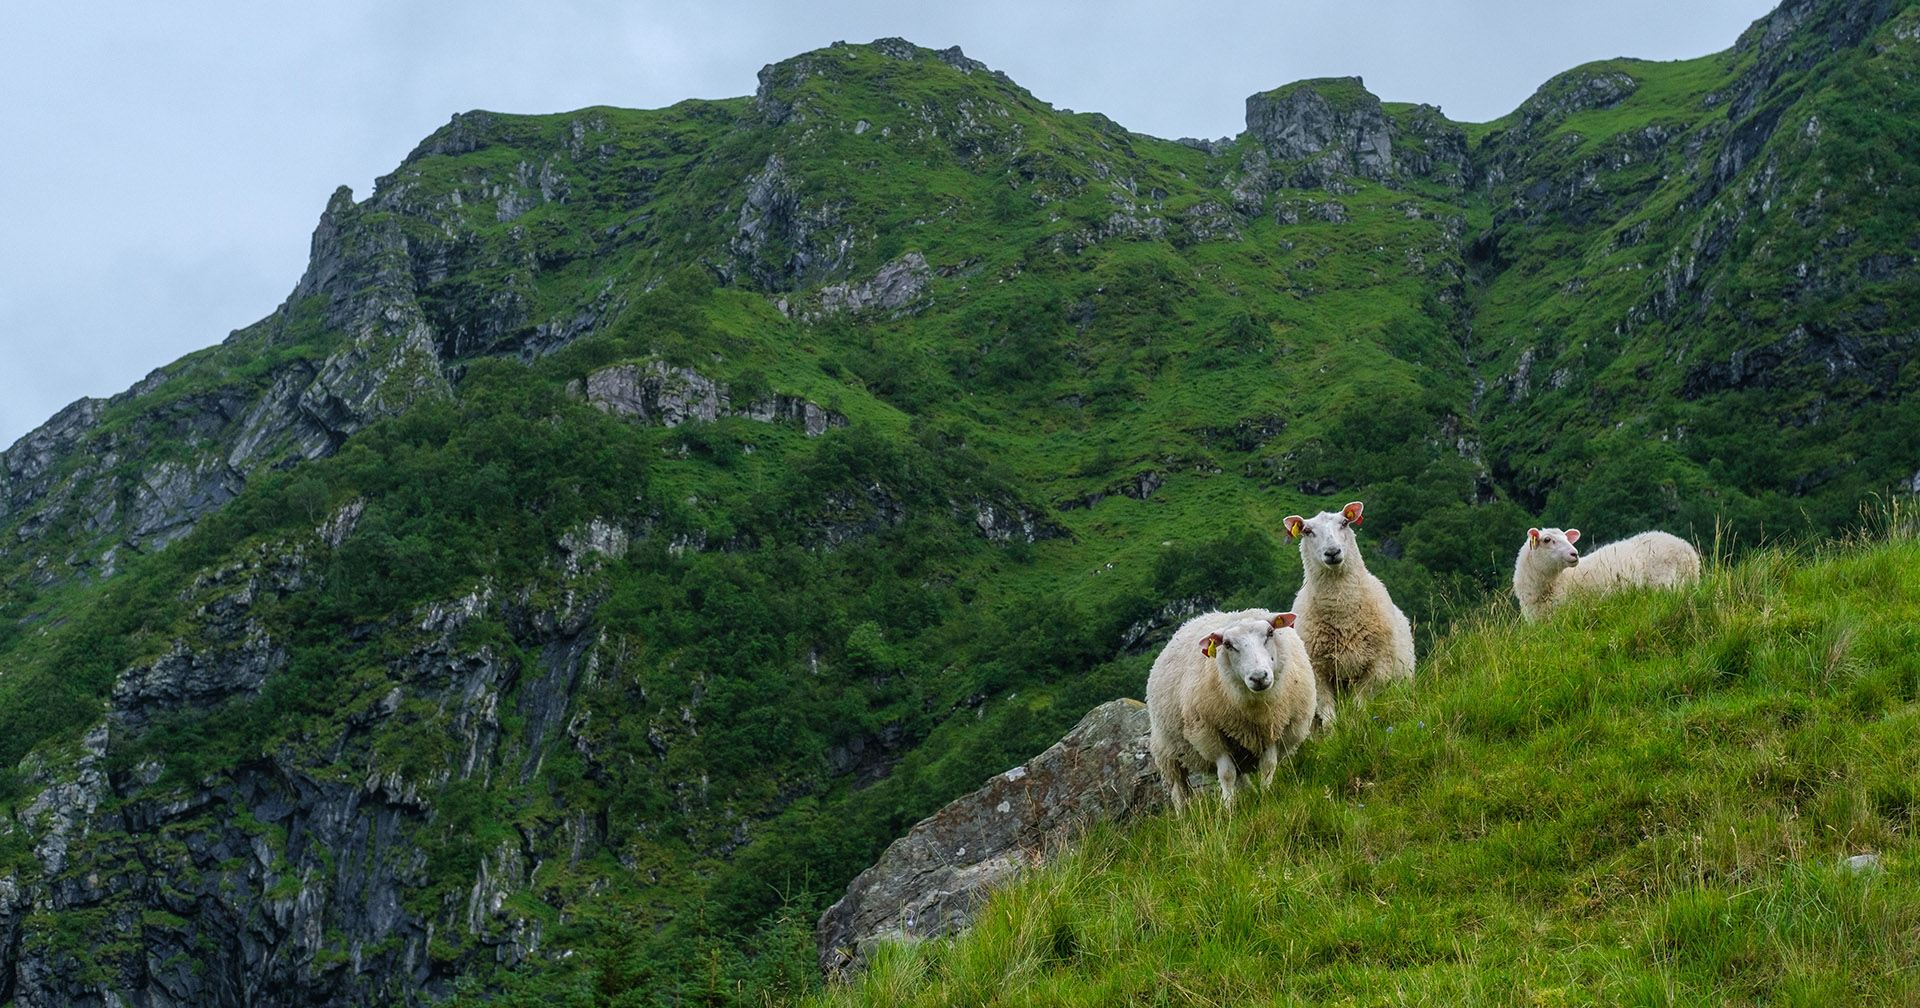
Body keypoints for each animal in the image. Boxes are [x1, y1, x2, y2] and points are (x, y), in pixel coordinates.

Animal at [1136, 610, 1320, 814]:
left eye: (1270, 632)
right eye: (1228, 644)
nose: (1258, 677)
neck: (1257, 712)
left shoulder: (1274, 731)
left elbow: (1268, 766)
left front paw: (1266, 795)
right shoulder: (1210, 736)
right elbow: (1226, 774)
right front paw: (1227, 808)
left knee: (1240, 776)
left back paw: (1251, 793)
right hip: (1166, 749)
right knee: (1178, 788)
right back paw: (1183, 815)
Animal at [1282, 495, 1420, 725]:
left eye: (1344, 523)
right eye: (1307, 531)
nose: (1332, 552)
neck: (1342, 618)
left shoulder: (1377, 667)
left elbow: (1359, 706)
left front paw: (1358, 725)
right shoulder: (1318, 672)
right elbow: (1328, 715)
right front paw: (1334, 732)